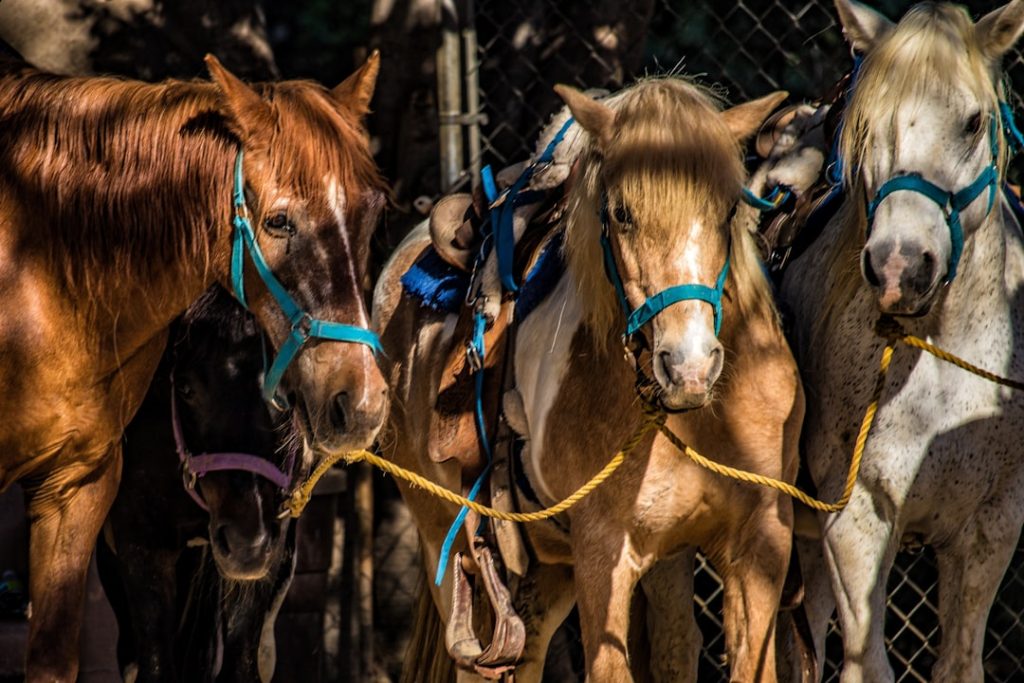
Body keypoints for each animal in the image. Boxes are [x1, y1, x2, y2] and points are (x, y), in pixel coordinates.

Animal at [97, 286, 301, 683]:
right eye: (186, 388)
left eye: (284, 390)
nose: (247, 544)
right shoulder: (142, 543)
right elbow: (154, 665)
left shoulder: (272, 547)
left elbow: (240, 666)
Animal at [374, 77, 804, 681]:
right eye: (621, 213)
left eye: (726, 210)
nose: (688, 366)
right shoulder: (605, 555)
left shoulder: (760, 546)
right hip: (448, 542)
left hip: (553, 567)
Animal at [779, 1, 1024, 680]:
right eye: (870, 126)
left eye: (972, 121)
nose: (898, 268)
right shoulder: (856, 520)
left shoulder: (992, 525)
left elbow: (960, 663)